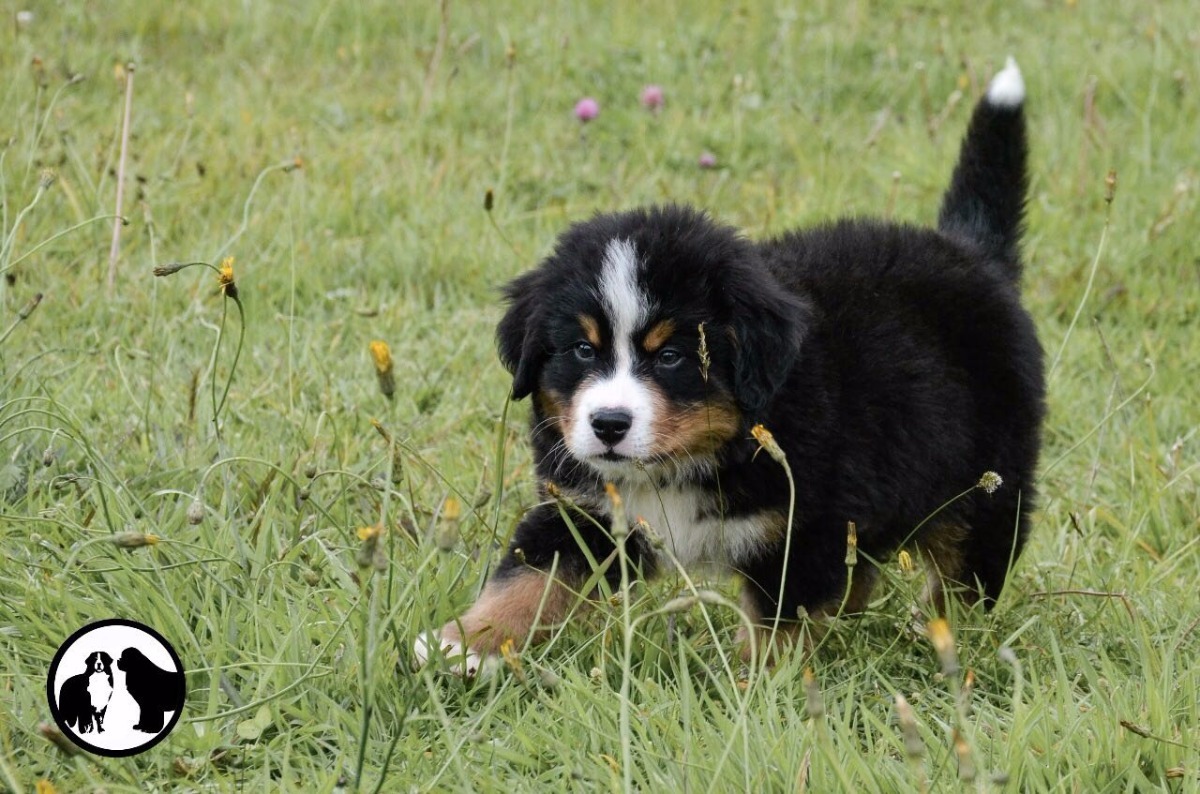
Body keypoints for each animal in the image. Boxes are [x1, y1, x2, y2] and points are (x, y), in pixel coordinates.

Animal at [417, 57, 1046, 676]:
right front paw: (463, 643)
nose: (608, 425)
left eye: (671, 356)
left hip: (988, 485)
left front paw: (756, 687)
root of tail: (971, 253)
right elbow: (528, 578)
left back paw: (947, 639)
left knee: (966, 571)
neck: (685, 463)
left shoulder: (804, 527)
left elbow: (780, 624)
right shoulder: (587, 513)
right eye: (583, 350)